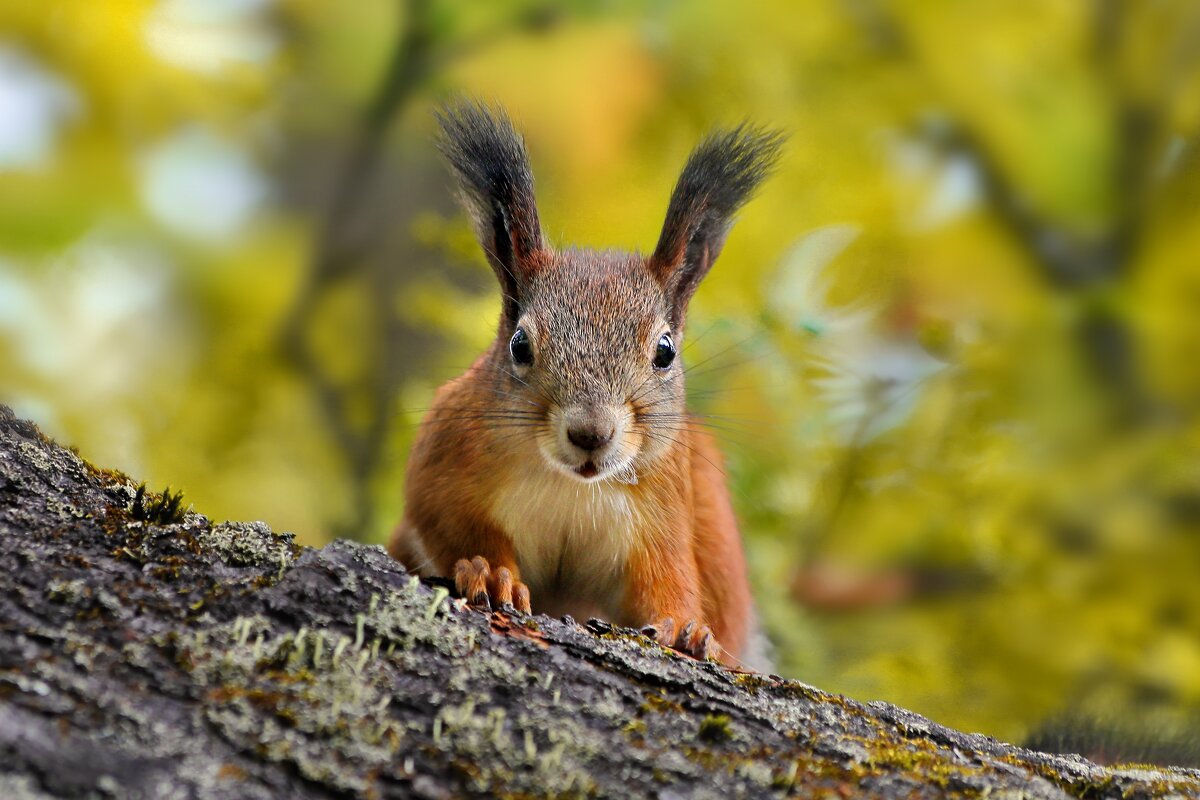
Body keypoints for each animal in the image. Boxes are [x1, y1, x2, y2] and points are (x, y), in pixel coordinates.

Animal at [388, 101, 787, 671]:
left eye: (665, 351)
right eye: (519, 345)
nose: (591, 434)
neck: (570, 485)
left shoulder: (662, 509)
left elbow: (667, 577)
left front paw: (686, 629)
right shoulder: (446, 453)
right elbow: (450, 519)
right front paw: (491, 572)